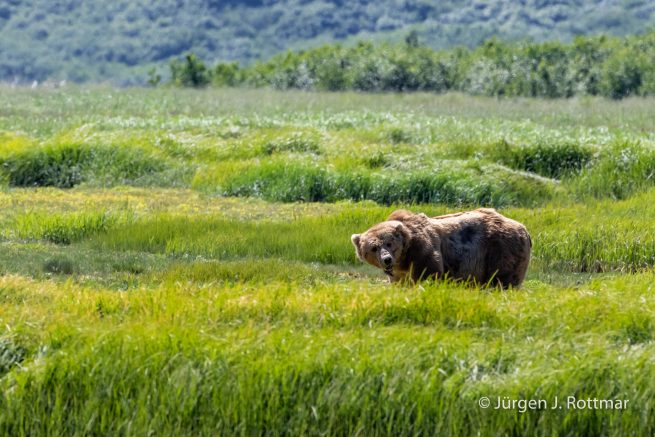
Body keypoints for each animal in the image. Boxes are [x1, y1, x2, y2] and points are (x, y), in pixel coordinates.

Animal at [351, 208, 531, 288]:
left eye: (389, 243)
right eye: (373, 248)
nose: (387, 259)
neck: (404, 258)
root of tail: (524, 228)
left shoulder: (422, 250)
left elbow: (429, 272)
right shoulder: (400, 272)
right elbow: (400, 282)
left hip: (501, 249)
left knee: (503, 278)